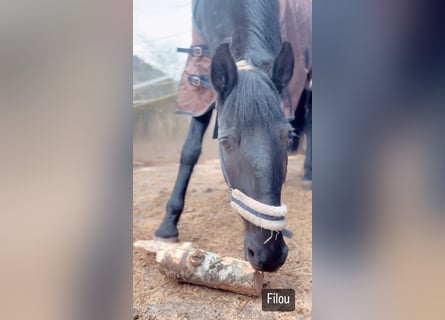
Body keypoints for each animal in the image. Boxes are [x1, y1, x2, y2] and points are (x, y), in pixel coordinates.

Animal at [154, 0, 304, 272]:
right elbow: (190, 151)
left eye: (288, 136)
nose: (269, 254)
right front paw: (168, 224)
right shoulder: (200, 75)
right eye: (225, 141)